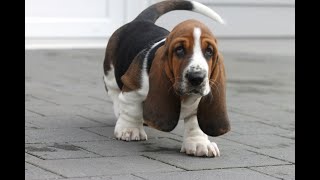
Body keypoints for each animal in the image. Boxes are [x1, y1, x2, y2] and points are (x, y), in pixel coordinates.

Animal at [102, 0, 230, 158]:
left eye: (209, 51)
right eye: (179, 50)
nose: (197, 78)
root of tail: (142, 20)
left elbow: (195, 124)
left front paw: (199, 144)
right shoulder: (133, 87)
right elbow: (131, 109)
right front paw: (130, 130)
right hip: (110, 72)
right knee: (114, 92)